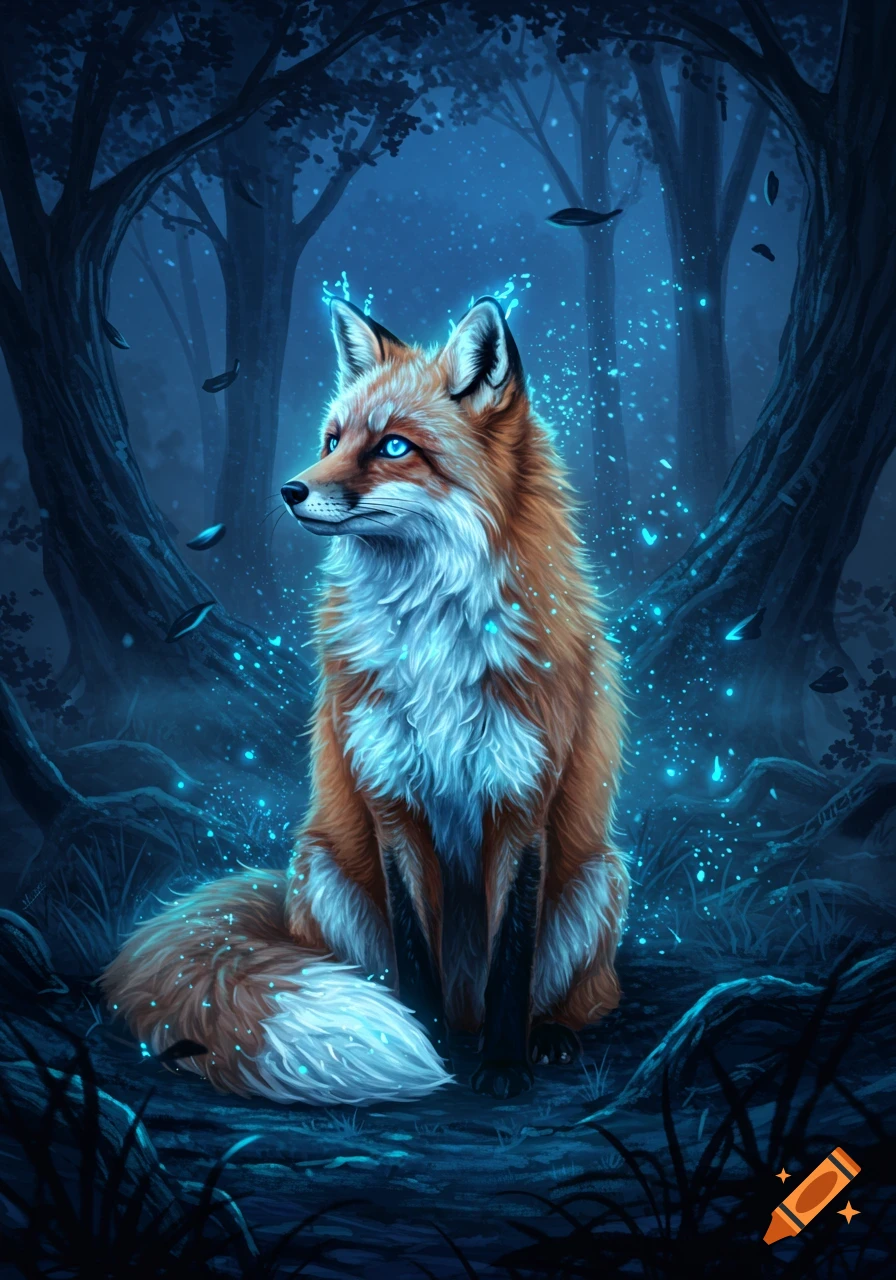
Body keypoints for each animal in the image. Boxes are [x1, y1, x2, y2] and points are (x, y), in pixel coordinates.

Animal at [102, 295, 627, 1104]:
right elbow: (412, 956)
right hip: (321, 868)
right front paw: (431, 1049)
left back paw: (548, 1037)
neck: (433, 638)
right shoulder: (391, 802)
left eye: (393, 447)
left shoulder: (522, 803)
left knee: (582, 995)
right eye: (332, 438)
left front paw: (504, 1066)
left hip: (600, 877)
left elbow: (513, 959)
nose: (289, 490)